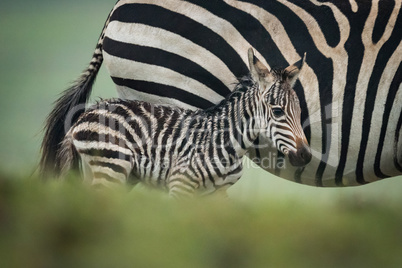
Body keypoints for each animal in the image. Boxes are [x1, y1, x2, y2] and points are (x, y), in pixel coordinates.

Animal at [55, 49, 310, 197]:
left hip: (102, 172)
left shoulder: (216, 195)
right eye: (277, 112)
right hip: (111, 168)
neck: (227, 142)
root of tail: (83, 115)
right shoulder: (180, 185)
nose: (305, 156)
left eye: (299, 112)